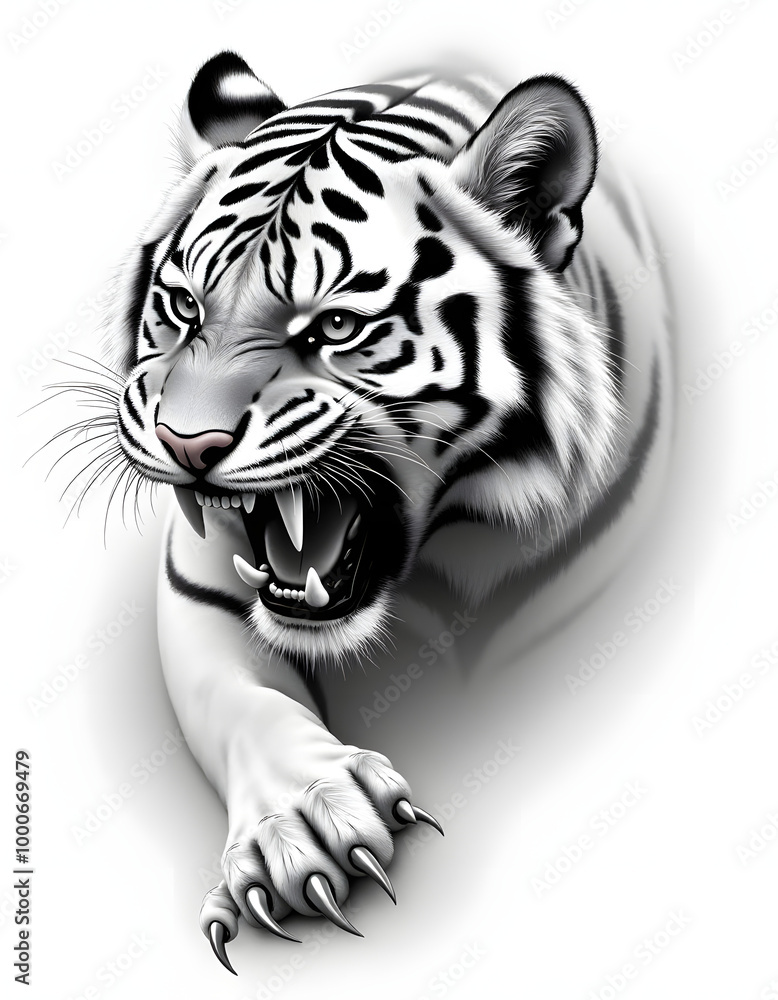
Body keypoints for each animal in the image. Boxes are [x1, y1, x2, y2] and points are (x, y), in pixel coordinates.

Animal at [94, 50, 672, 972]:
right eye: (185, 310)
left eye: (334, 327)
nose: (187, 444)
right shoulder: (201, 583)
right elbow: (240, 700)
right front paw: (304, 821)